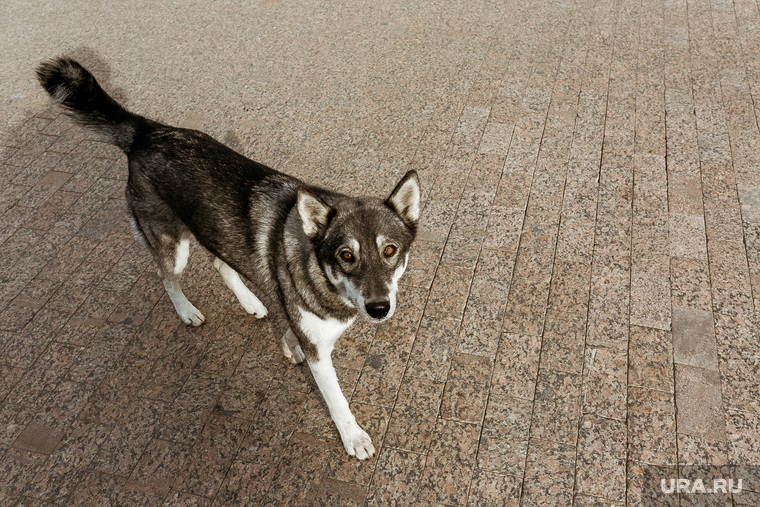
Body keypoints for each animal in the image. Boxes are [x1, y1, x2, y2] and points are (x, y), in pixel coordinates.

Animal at [37, 56, 422, 460]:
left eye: (390, 250)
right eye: (346, 255)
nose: (379, 308)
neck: (325, 279)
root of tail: (148, 131)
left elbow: (291, 327)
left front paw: (288, 344)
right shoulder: (321, 352)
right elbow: (336, 400)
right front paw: (353, 437)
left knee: (221, 262)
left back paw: (250, 302)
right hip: (174, 246)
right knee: (166, 277)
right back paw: (187, 311)